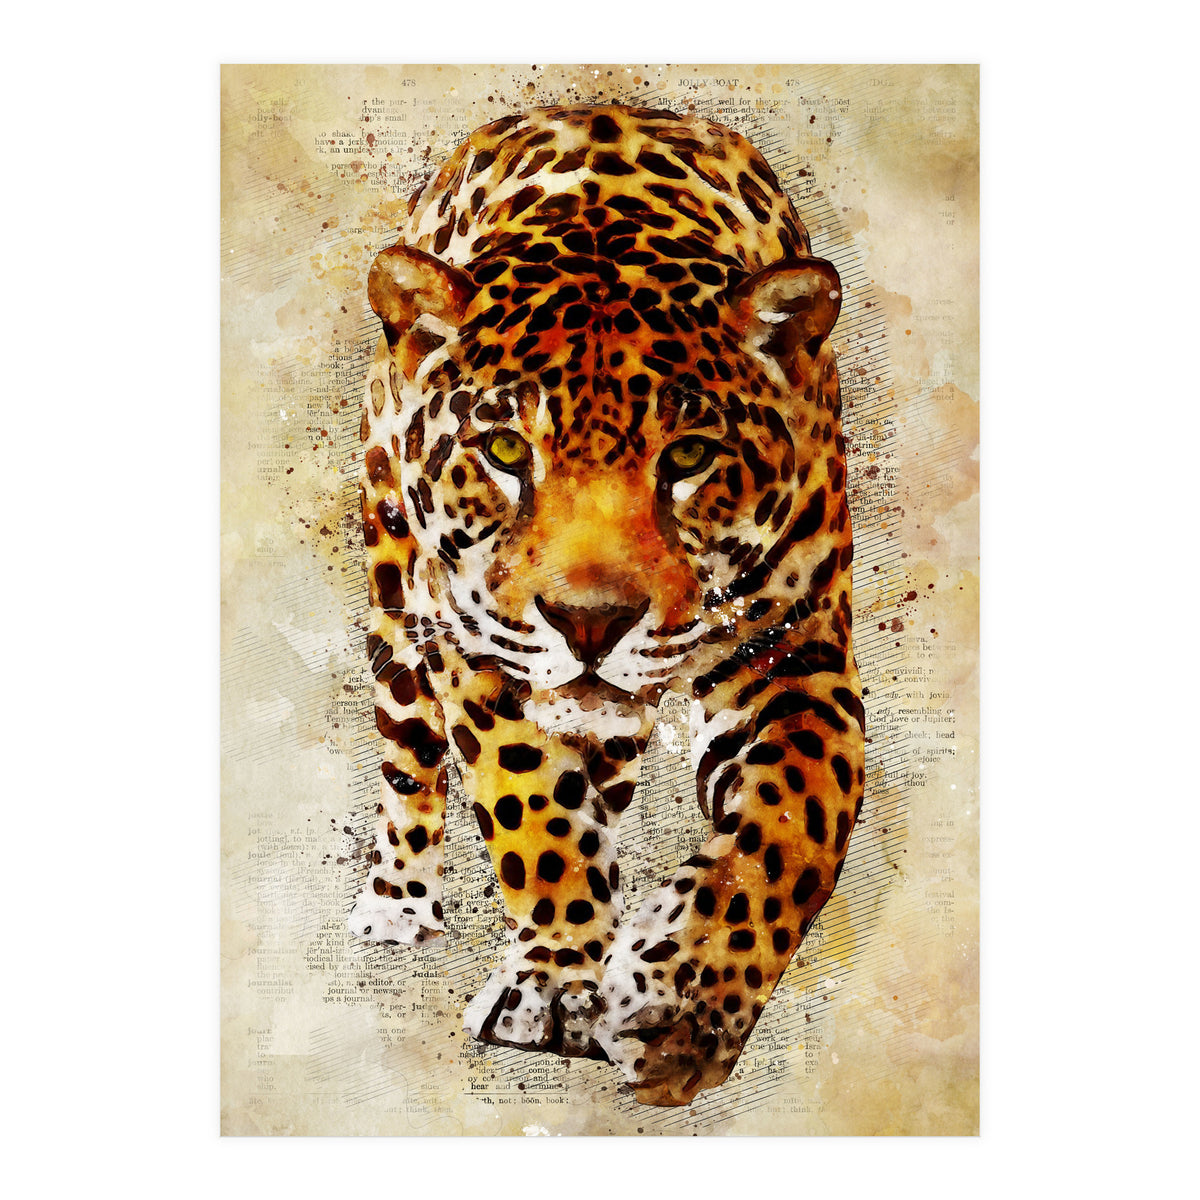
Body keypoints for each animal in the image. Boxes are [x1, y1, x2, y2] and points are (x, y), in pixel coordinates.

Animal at [349, 103, 865, 1107]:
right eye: (506, 450)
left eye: (690, 455)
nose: (590, 622)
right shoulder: (479, 646)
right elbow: (530, 803)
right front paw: (557, 982)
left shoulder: (798, 652)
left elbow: (795, 822)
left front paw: (681, 1003)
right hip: (397, 597)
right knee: (408, 755)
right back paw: (398, 902)